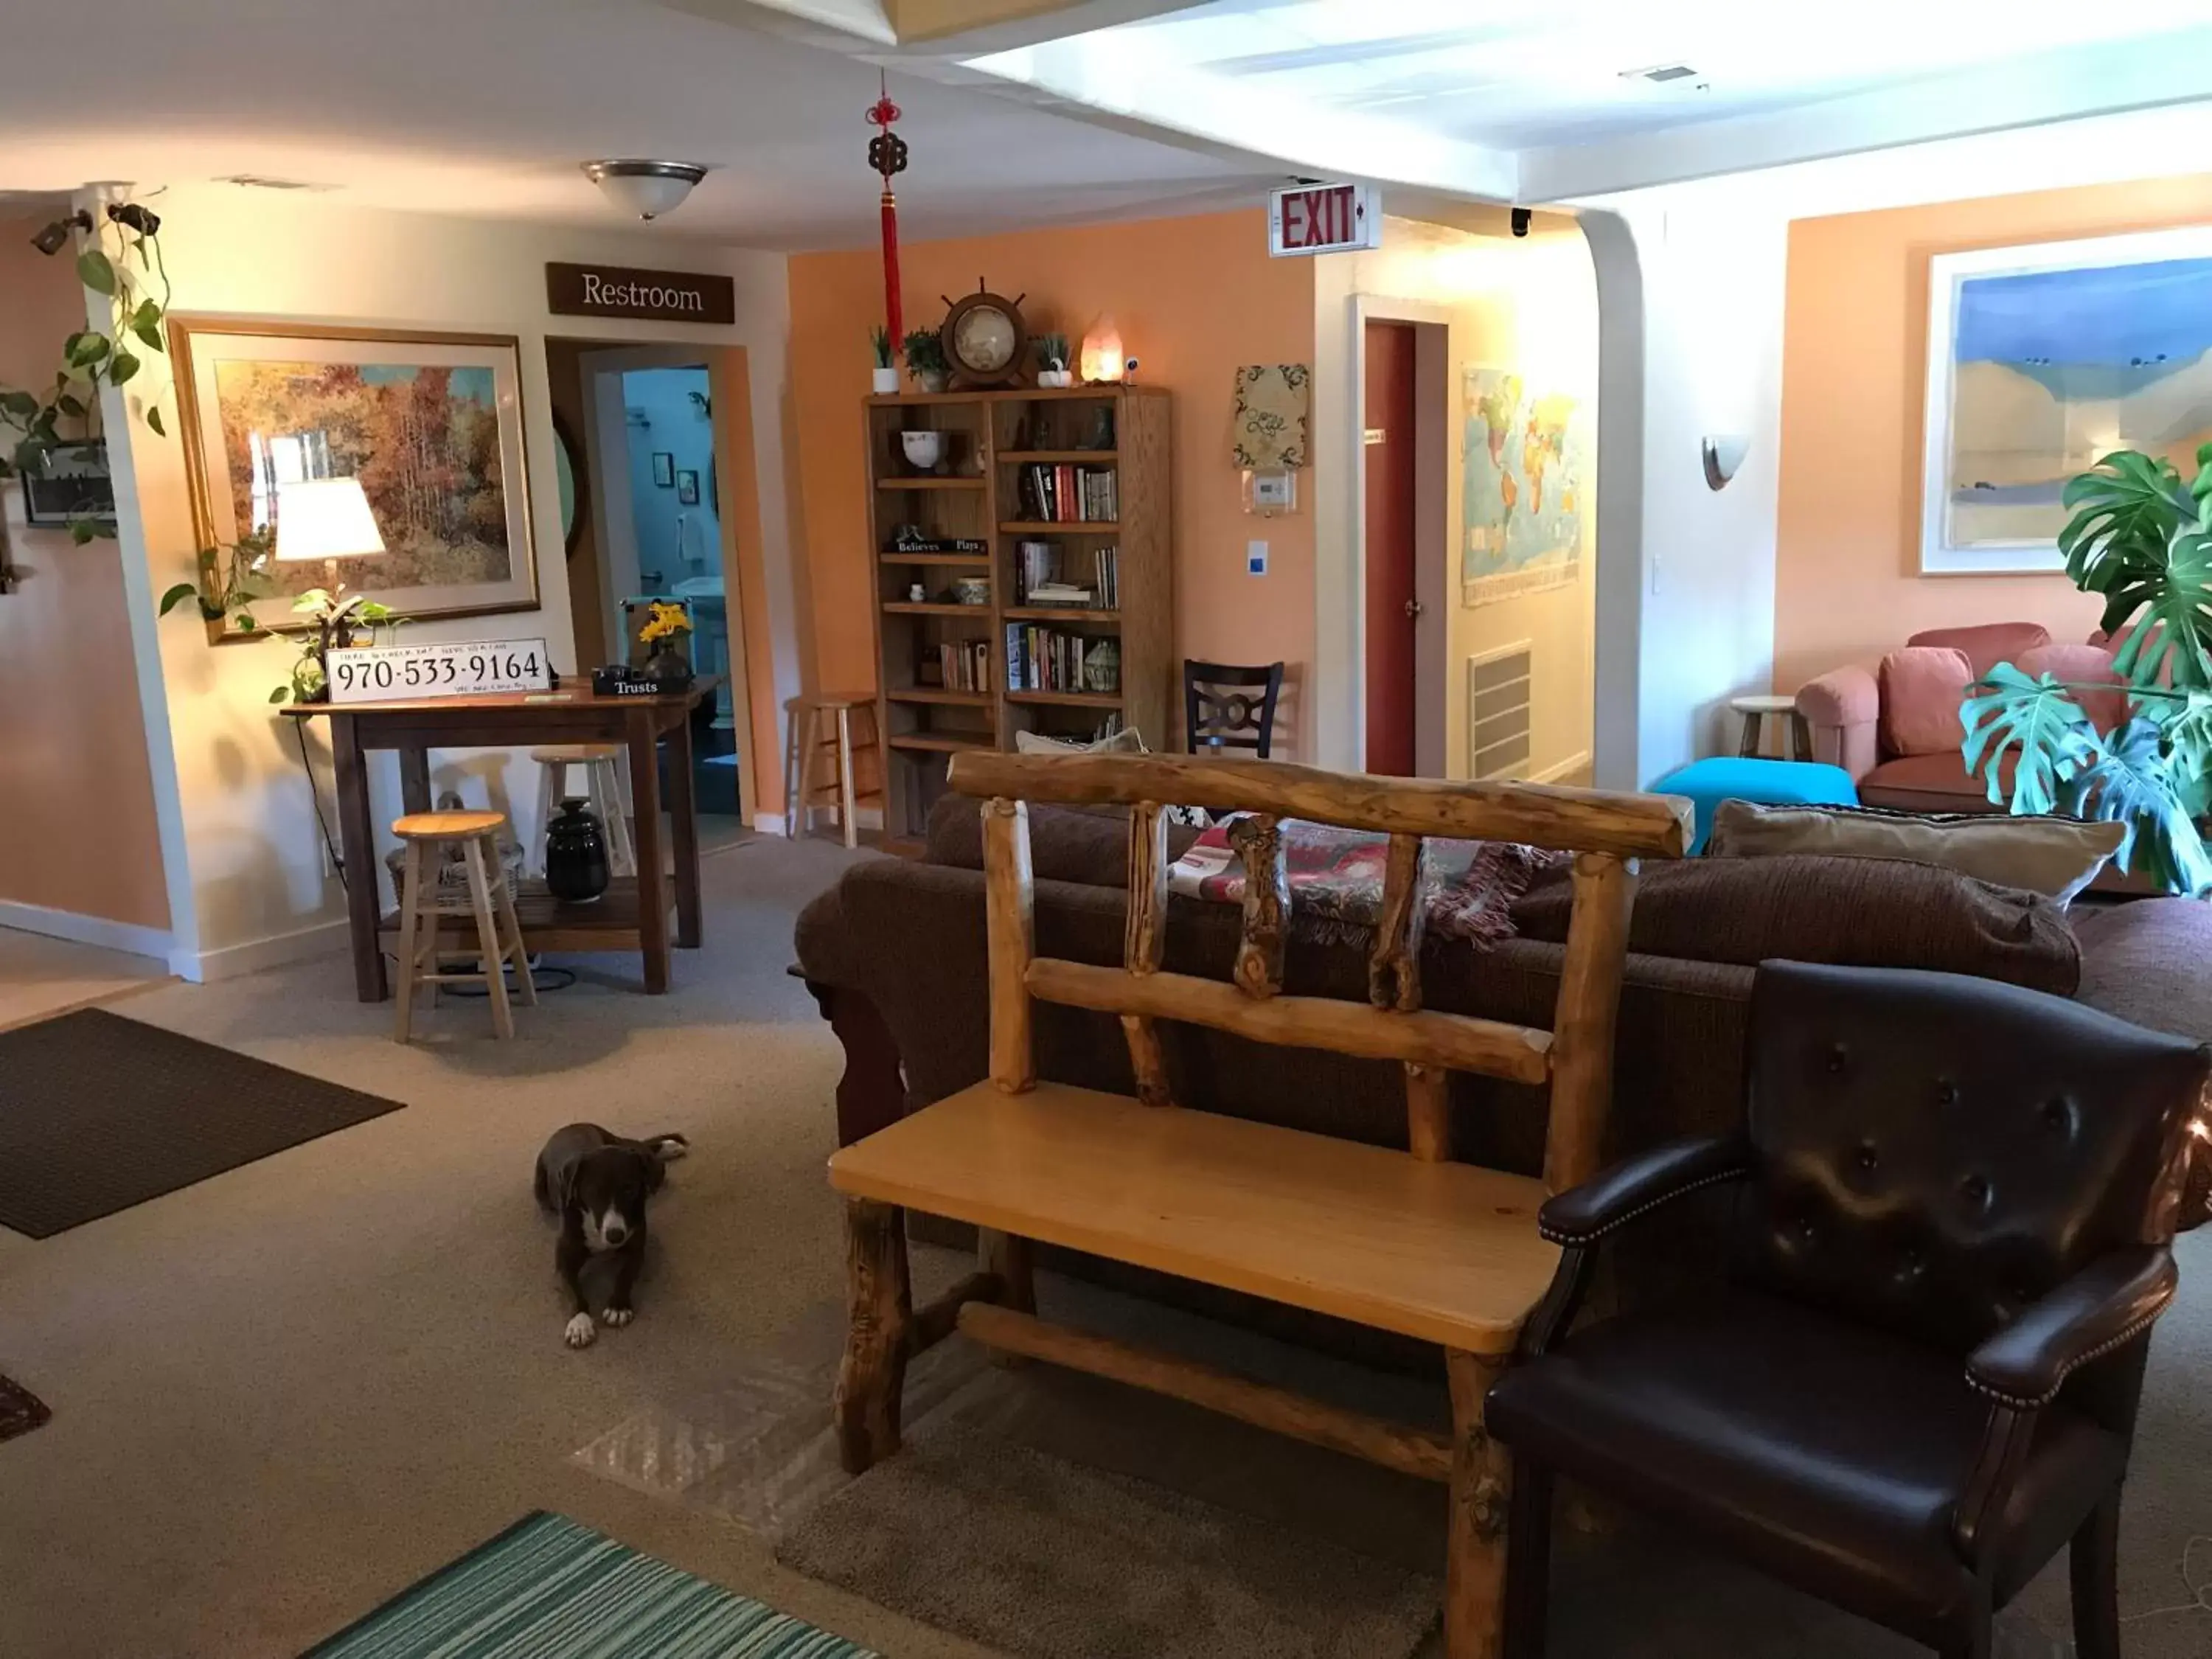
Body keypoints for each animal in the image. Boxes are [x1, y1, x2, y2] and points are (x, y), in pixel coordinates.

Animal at [531, 1133, 686, 1354]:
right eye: (593, 1191)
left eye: (629, 1189)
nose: (615, 1236)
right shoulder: (564, 1260)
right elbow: (573, 1290)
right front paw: (580, 1323)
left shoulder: (636, 1247)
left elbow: (625, 1274)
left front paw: (618, 1307)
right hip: (540, 1188)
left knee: (646, 1151)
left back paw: (669, 1146)